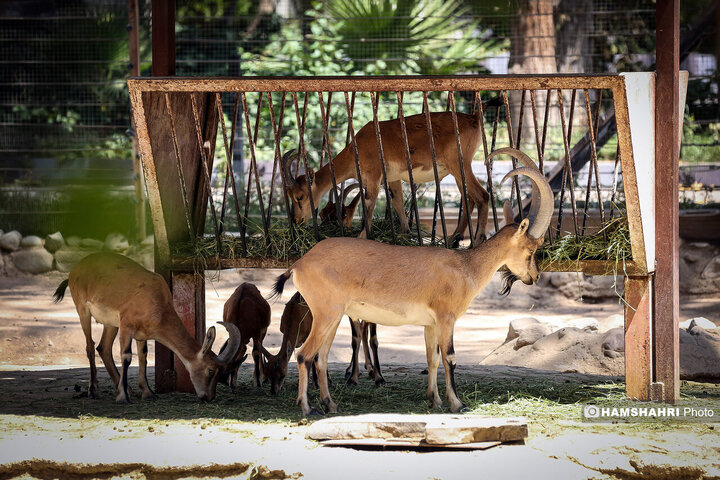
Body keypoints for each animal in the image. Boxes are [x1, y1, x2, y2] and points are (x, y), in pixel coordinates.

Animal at [270, 148, 552, 414]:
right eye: (531, 250)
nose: (534, 276)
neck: (466, 267)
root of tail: (298, 264)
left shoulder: (430, 324)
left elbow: (432, 359)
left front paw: (434, 399)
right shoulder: (446, 318)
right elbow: (450, 358)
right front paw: (457, 404)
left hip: (333, 316)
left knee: (321, 357)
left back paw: (330, 404)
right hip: (326, 313)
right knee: (304, 355)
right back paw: (308, 408)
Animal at [284, 110, 492, 246]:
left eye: (300, 196)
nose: (297, 220)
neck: (357, 149)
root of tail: (474, 119)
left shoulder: (373, 176)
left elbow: (369, 205)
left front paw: (361, 237)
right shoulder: (392, 179)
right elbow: (397, 202)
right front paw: (404, 234)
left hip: (459, 164)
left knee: (482, 196)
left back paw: (477, 240)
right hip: (457, 171)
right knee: (469, 199)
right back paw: (453, 239)